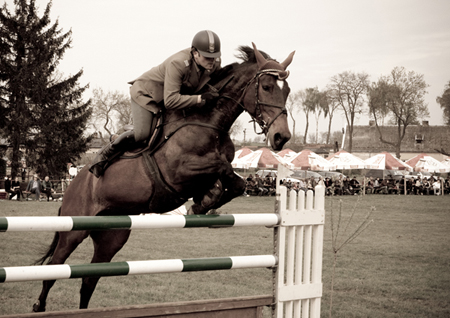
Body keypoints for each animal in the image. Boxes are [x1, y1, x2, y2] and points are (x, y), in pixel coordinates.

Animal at [32, 43, 296, 312]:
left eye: (287, 91)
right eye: (266, 87)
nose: (281, 137)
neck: (210, 123)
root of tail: (72, 186)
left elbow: (237, 182)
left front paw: (205, 201)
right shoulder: (177, 171)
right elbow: (222, 167)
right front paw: (204, 201)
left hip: (112, 237)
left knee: (89, 279)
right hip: (74, 230)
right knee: (54, 269)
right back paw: (38, 306)